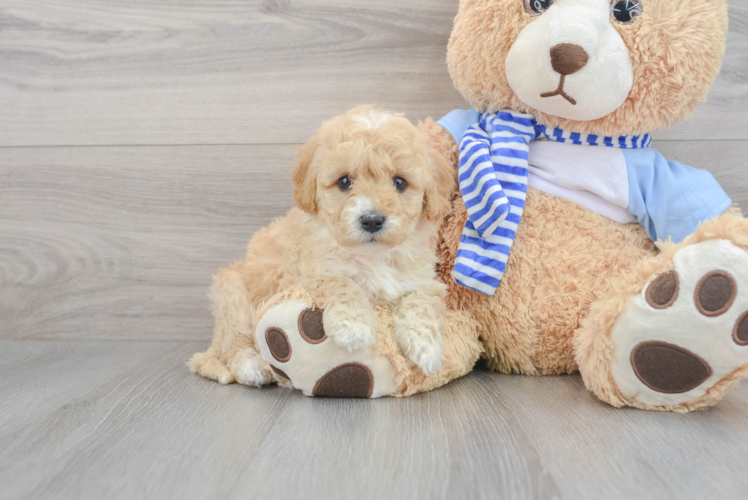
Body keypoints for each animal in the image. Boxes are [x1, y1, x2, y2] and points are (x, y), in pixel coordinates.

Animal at [187, 105, 456, 386]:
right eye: (344, 181)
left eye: (400, 182)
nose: (372, 220)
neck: (372, 256)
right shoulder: (300, 275)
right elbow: (340, 281)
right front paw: (353, 327)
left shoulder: (422, 278)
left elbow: (422, 300)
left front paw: (425, 345)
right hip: (233, 296)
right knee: (235, 341)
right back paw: (252, 366)